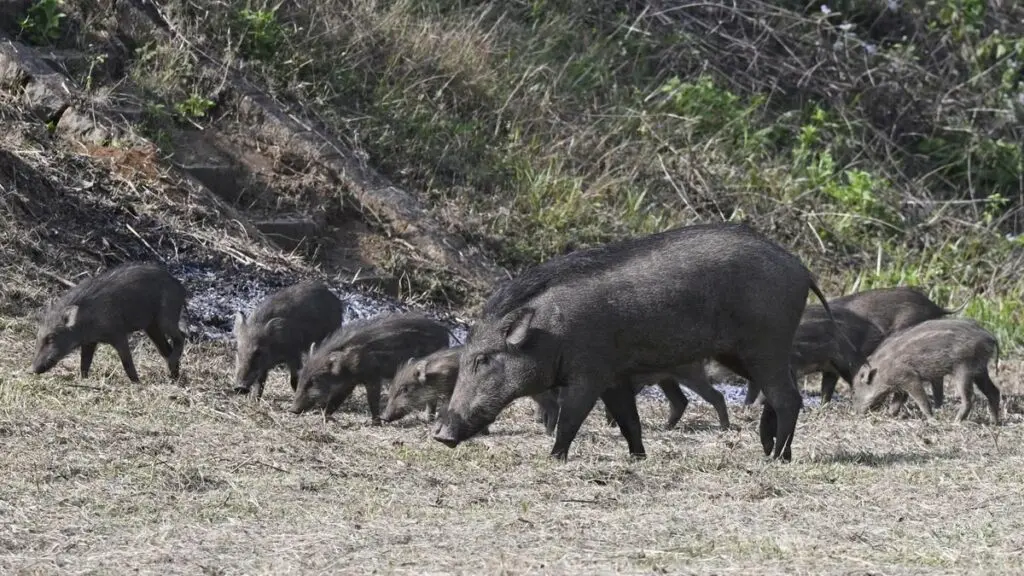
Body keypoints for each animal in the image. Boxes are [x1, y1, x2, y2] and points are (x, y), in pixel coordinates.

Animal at [30, 262, 186, 383]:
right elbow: (84, 363)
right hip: (152, 327)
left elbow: (127, 362)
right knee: (166, 350)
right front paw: (83, 380)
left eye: (51, 338)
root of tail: (179, 285)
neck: (85, 320)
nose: (32, 370)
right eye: (38, 336)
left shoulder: (118, 335)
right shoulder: (89, 342)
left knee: (181, 337)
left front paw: (137, 383)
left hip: (166, 318)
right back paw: (173, 377)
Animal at [290, 312, 451, 425]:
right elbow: (336, 400)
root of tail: (445, 333)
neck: (348, 363)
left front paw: (376, 423)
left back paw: (429, 420)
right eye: (302, 377)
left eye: (313, 381)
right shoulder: (348, 383)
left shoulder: (373, 376)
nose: (292, 410)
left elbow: (372, 399)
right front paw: (325, 418)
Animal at [434, 223, 837, 462]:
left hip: (764, 345)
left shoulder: (589, 374)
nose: (440, 435)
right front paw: (637, 457)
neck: (552, 332)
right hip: (744, 353)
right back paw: (772, 451)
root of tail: (802, 269)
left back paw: (775, 458)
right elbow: (630, 420)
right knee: (778, 395)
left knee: (788, 398)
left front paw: (554, 458)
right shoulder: (615, 378)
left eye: (483, 359)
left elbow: (571, 418)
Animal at [853, 318, 1000, 424]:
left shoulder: (909, 378)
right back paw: (994, 423)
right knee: (994, 391)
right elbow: (897, 402)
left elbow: (921, 399)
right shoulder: (900, 386)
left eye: (855, 391)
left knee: (970, 397)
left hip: (963, 369)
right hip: (980, 370)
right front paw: (890, 415)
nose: (856, 413)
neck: (881, 370)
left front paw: (931, 419)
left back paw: (956, 421)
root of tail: (990, 337)